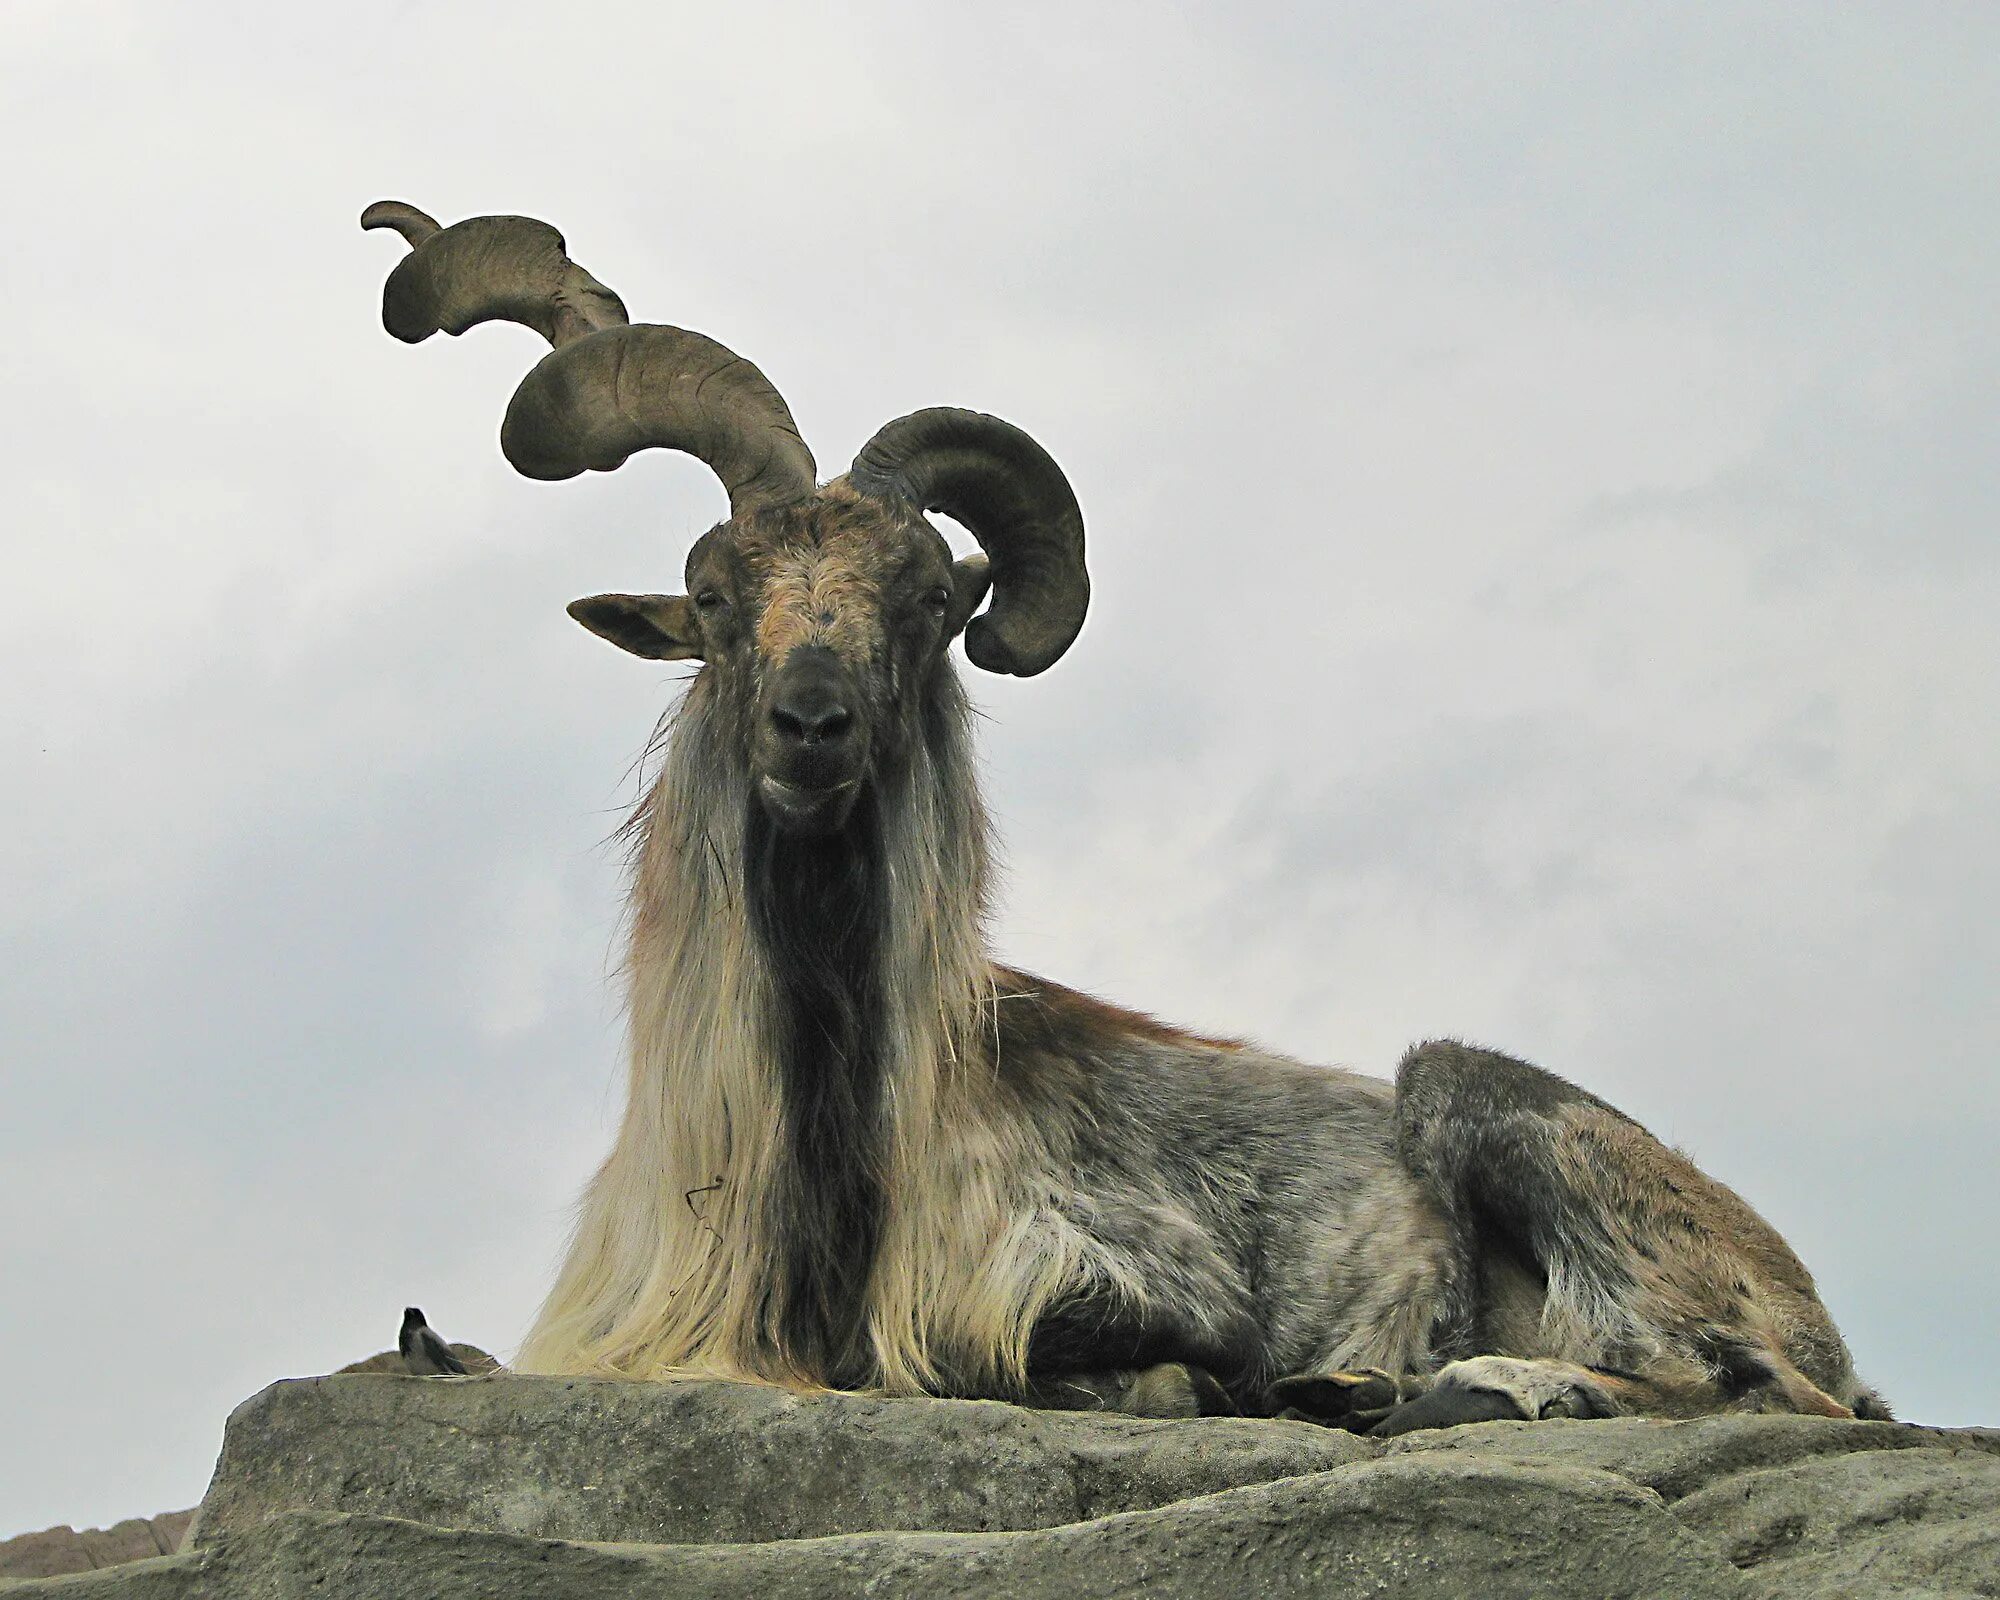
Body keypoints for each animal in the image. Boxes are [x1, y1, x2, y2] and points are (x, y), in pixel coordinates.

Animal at [368, 203, 1880, 1440]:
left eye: (929, 599)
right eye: (714, 593)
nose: (813, 727)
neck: (831, 1159)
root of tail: (1804, 1296)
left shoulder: (1131, 1279)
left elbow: (1094, 1356)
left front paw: (1226, 1384)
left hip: (1480, 1097)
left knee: (1746, 1383)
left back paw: (1461, 1383)